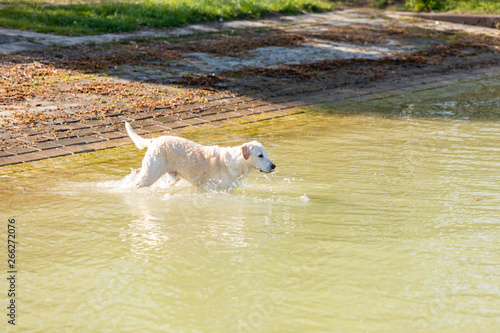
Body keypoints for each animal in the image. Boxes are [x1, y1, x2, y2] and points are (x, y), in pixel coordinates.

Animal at [123, 121, 276, 189]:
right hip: (149, 175)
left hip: (172, 177)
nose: (274, 166)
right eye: (260, 155)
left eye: (266, 154)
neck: (237, 162)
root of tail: (153, 140)